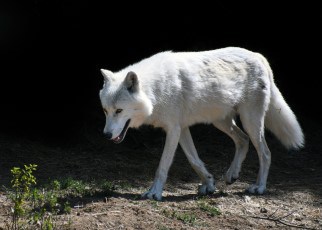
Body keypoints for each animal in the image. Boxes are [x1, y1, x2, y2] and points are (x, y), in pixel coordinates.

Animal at [100, 47, 304, 200]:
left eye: (119, 111)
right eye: (105, 111)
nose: (106, 135)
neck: (155, 90)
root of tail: (258, 56)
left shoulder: (173, 129)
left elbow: (162, 166)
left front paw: (154, 193)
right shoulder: (181, 129)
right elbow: (194, 160)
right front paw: (209, 183)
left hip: (250, 122)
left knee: (265, 153)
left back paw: (259, 187)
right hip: (221, 122)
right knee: (243, 140)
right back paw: (232, 174)